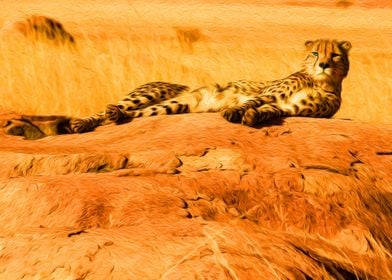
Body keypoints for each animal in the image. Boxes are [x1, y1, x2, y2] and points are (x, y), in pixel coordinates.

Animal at [71, 38, 352, 133]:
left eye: (335, 55)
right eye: (315, 53)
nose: (323, 64)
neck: (319, 82)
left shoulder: (288, 108)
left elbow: (267, 112)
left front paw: (252, 118)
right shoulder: (268, 93)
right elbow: (253, 101)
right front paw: (234, 112)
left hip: (170, 106)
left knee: (129, 114)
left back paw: (116, 117)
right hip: (150, 93)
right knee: (108, 109)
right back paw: (82, 123)